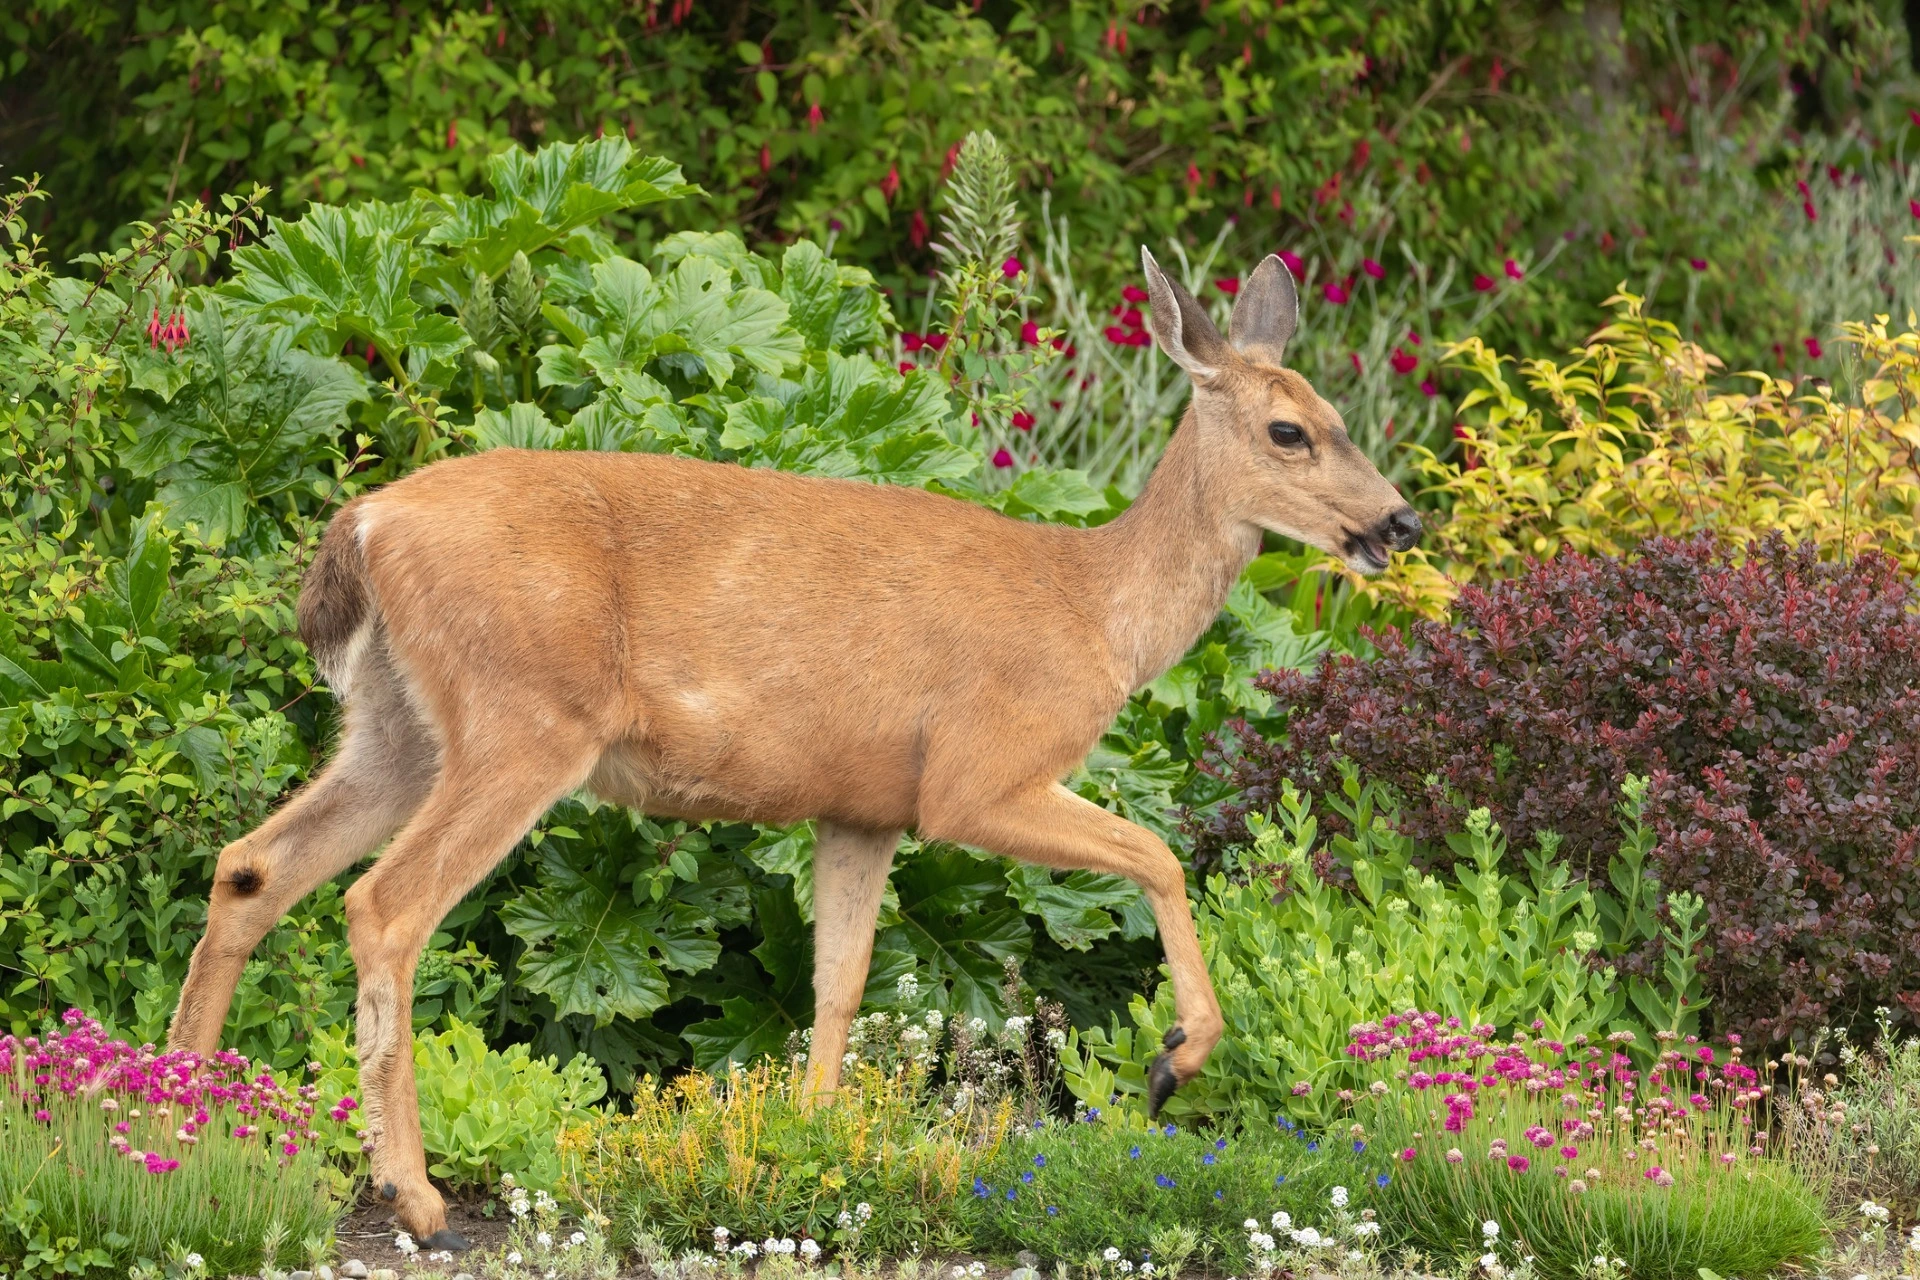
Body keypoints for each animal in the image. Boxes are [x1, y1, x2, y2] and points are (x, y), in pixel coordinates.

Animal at [166, 247, 1420, 1248]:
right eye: (1290, 429)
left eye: (1340, 413)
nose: (1399, 520)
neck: (1098, 613)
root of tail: (363, 522)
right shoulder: (976, 773)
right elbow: (1159, 852)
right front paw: (1172, 1057)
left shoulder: (861, 804)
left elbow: (840, 978)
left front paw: (814, 1146)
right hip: (520, 718)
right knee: (384, 904)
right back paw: (413, 1196)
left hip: (397, 723)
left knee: (253, 864)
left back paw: (170, 1115)